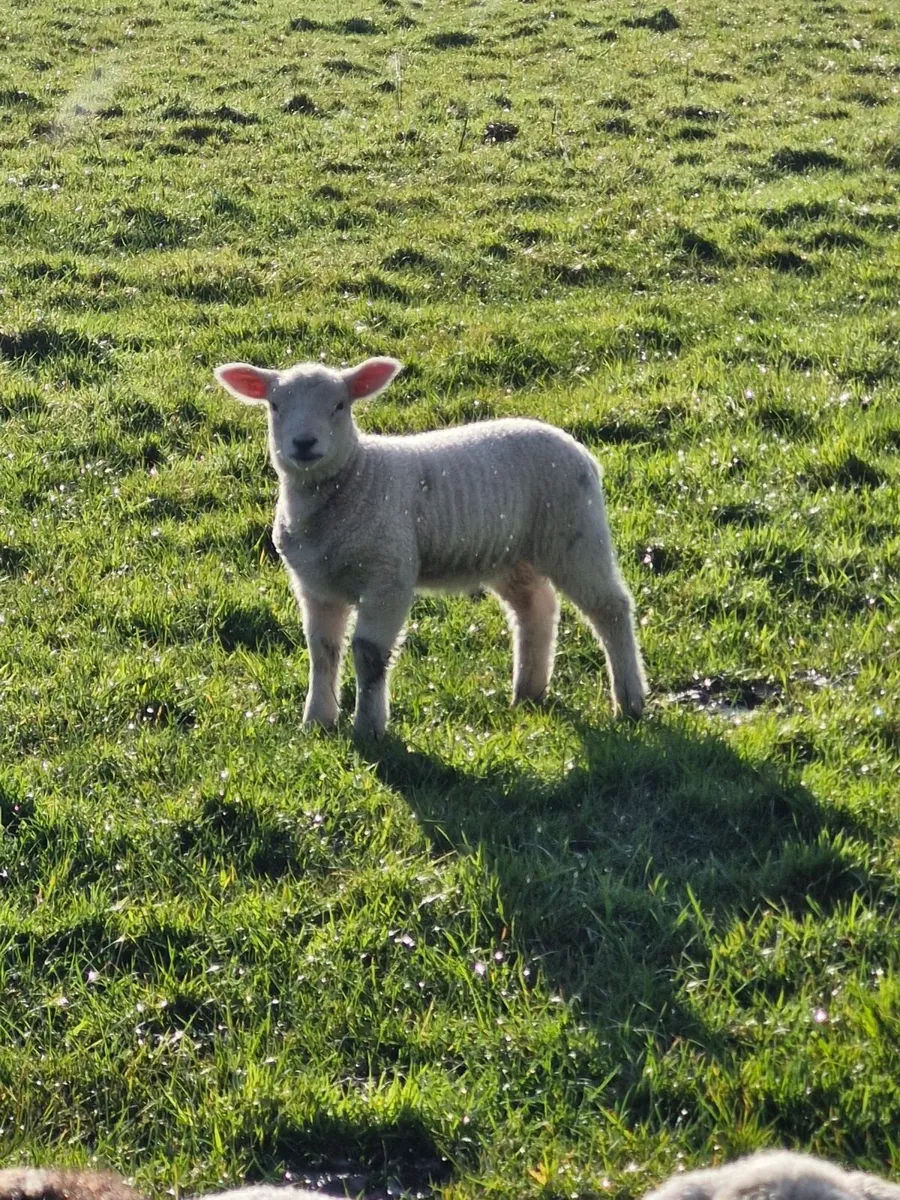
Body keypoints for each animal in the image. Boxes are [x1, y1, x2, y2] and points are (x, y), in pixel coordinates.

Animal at [214, 356, 648, 737]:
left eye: (339, 405)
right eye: (274, 405)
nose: (304, 444)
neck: (355, 477)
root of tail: (578, 448)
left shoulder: (389, 576)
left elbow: (368, 654)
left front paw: (368, 728)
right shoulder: (315, 585)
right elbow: (322, 651)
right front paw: (317, 722)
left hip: (577, 534)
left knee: (610, 608)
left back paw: (630, 701)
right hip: (512, 555)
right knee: (535, 608)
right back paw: (528, 692)